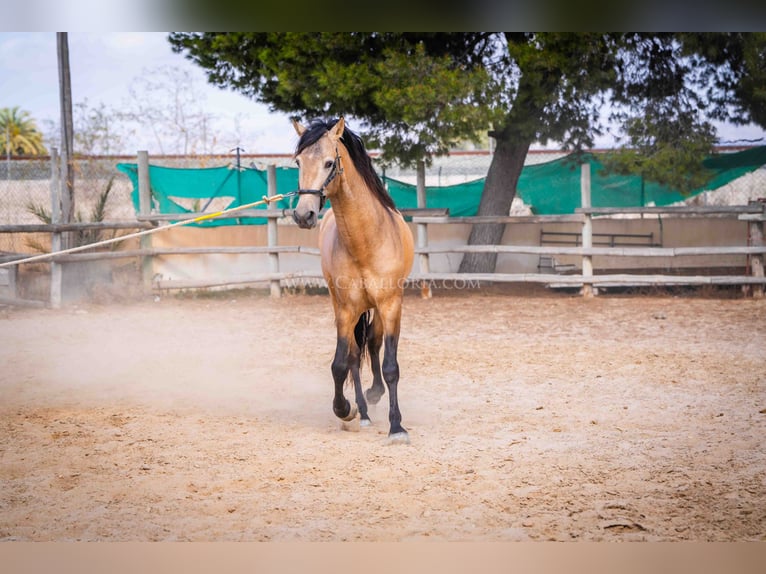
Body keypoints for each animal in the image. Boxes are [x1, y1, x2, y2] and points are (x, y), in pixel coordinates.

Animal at [292, 118, 414, 446]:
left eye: (329, 162)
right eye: (298, 162)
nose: (303, 214)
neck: (366, 241)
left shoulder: (391, 305)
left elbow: (391, 366)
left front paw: (397, 427)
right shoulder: (346, 309)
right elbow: (340, 364)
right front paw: (346, 410)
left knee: (372, 343)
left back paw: (374, 396)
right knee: (357, 355)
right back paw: (363, 411)